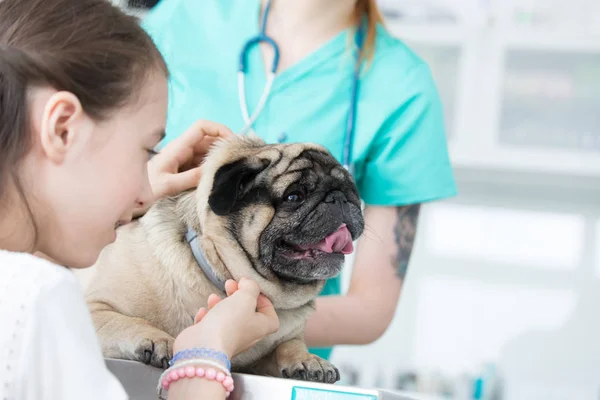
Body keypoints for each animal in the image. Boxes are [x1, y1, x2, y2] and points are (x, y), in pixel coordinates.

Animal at [83, 135, 366, 384]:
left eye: (351, 190)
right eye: (294, 196)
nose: (339, 197)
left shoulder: (260, 355)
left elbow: (288, 345)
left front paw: (307, 359)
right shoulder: (95, 306)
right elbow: (126, 320)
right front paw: (157, 339)